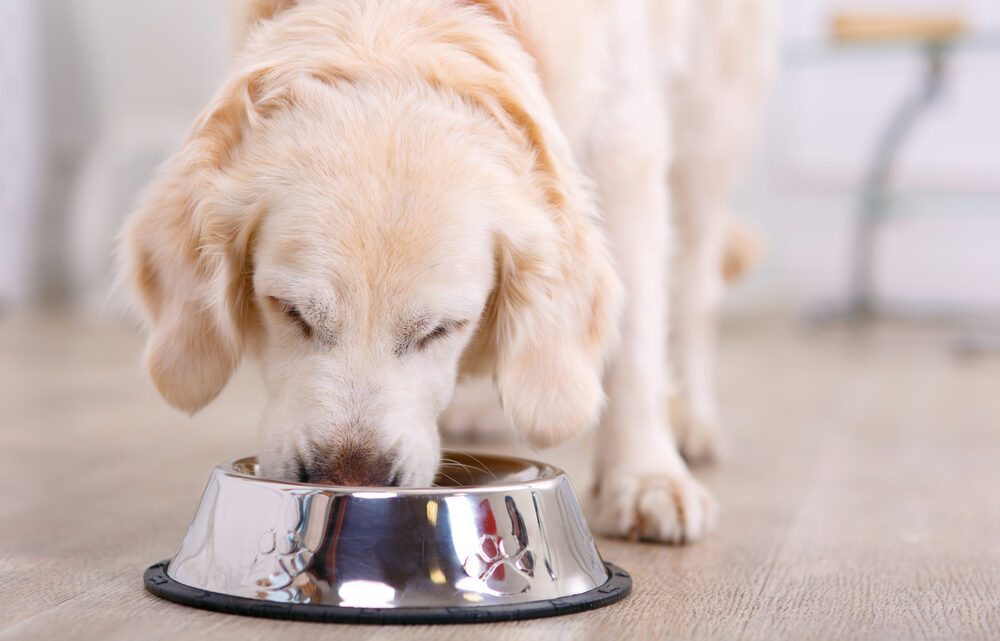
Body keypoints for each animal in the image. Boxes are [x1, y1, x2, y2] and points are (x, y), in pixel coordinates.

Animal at [119, 0, 772, 544]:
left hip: (709, 126)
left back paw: (691, 422)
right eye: (290, 311)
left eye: (442, 329)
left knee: (694, 287)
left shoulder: (626, 138)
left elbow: (635, 336)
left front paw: (645, 477)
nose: (349, 478)